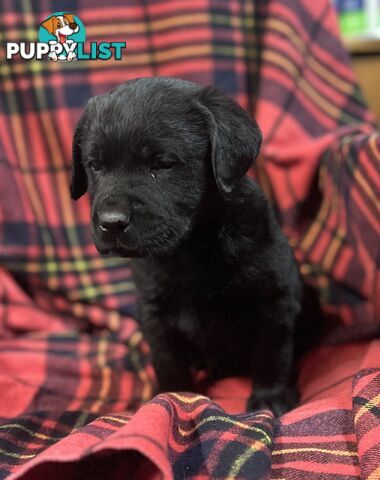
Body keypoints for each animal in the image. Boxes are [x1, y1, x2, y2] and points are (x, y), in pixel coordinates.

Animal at [70, 77, 302, 414]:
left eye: (163, 163)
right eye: (95, 165)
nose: (111, 223)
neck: (191, 248)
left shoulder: (275, 297)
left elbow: (272, 351)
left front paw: (270, 397)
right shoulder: (155, 311)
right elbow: (168, 361)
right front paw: (171, 398)